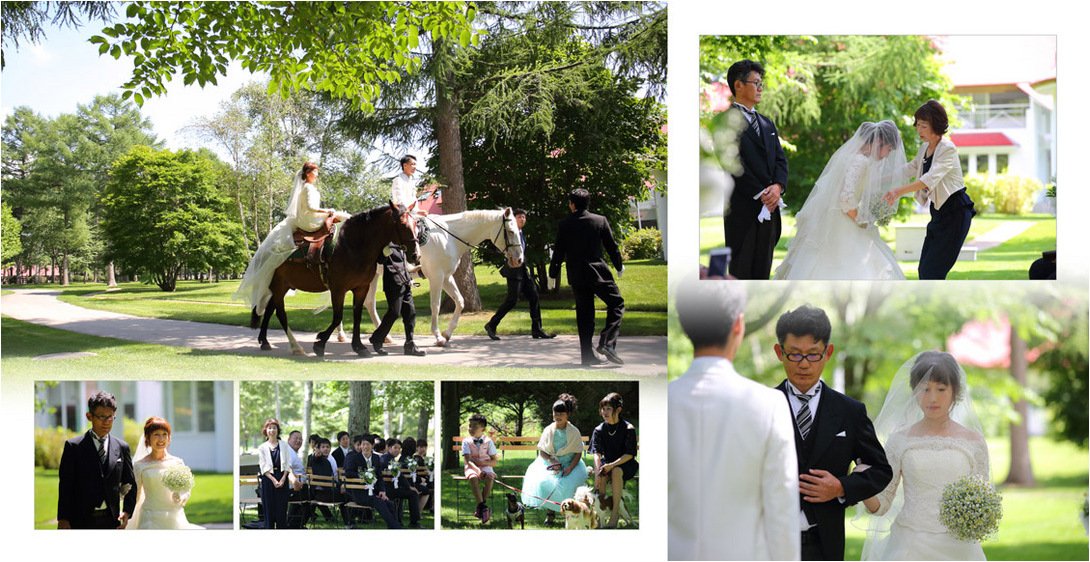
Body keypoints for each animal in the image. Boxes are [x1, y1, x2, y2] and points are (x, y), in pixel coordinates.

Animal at [252, 201, 418, 357]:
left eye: (416, 223)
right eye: (403, 224)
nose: (415, 254)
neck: (352, 245)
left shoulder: (361, 288)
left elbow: (357, 317)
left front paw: (359, 346)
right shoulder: (338, 289)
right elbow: (338, 317)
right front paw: (320, 343)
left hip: (283, 286)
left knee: (269, 309)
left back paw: (265, 341)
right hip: (279, 285)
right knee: (280, 313)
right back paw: (295, 346)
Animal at [361, 205, 523, 346]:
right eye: (511, 231)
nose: (519, 260)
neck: (448, 238)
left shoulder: (446, 277)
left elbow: (460, 301)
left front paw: (447, 334)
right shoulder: (436, 277)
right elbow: (436, 305)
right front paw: (438, 336)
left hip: (373, 277)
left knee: (369, 303)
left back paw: (386, 337)